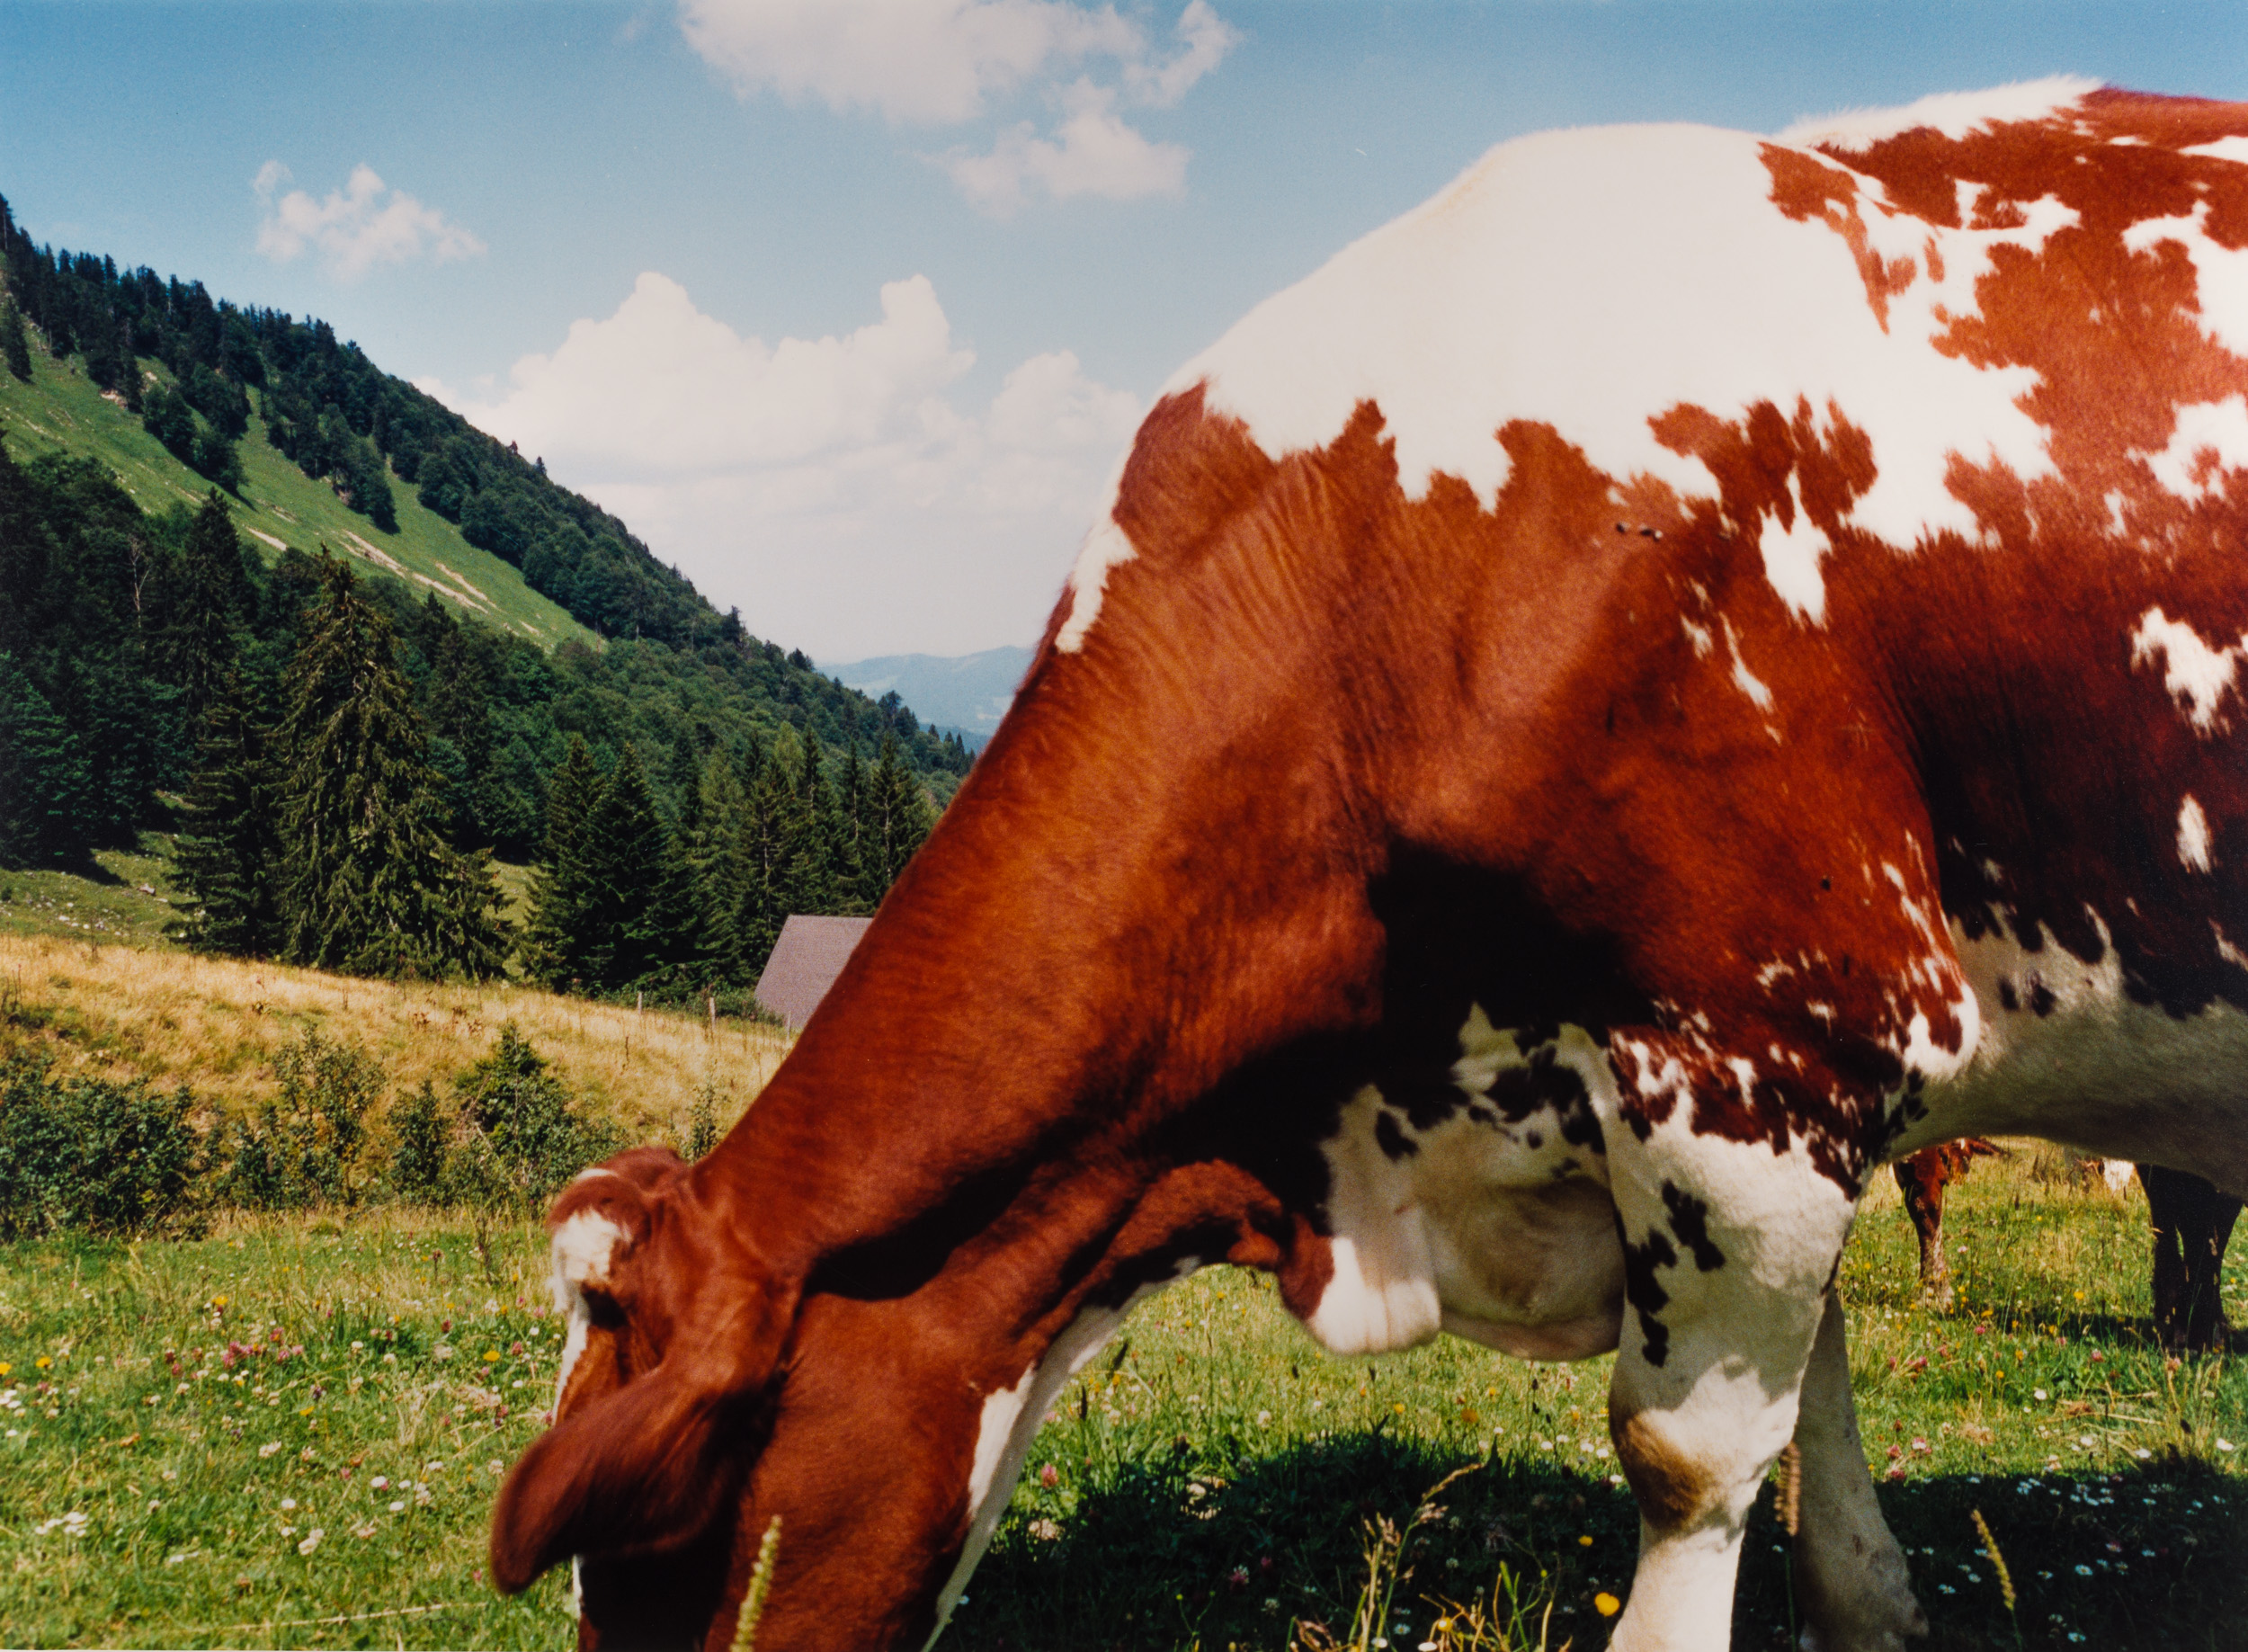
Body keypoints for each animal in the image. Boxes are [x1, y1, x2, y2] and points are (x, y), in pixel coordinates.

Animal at [491, 80, 2248, 1652]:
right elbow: (1816, 1386)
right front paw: (1873, 1605)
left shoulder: (1765, 1053)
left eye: (648, 1531)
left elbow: (1689, 1460)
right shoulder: (1778, 1102)